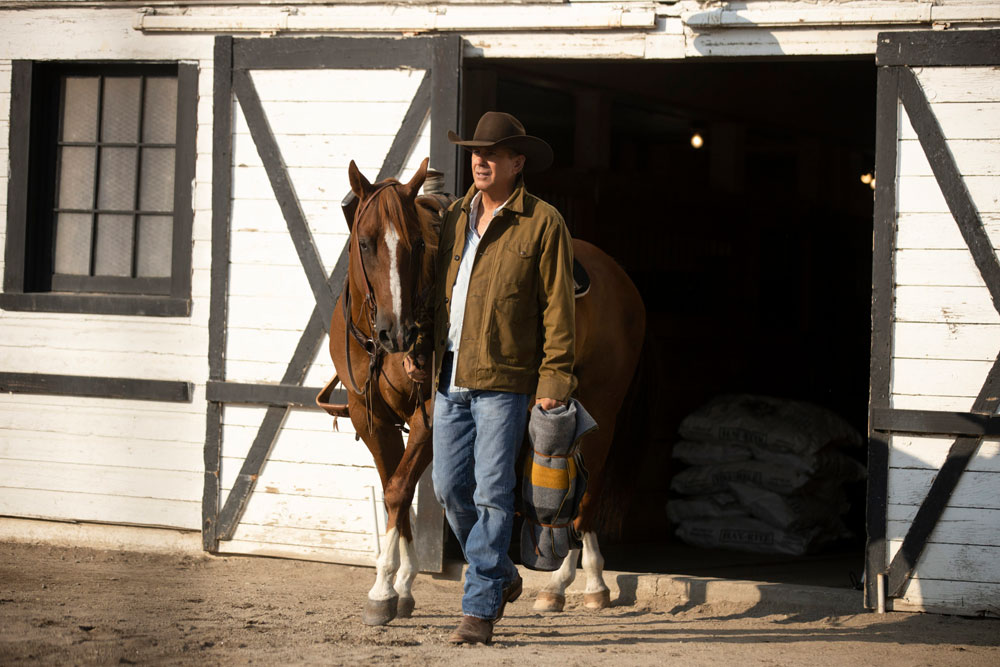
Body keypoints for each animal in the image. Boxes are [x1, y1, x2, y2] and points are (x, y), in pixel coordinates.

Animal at [324, 158, 644, 628]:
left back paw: (575, 583)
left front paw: (384, 588)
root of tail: (618, 276)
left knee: (587, 487)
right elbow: (392, 489)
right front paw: (403, 585)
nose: (398, 333)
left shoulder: (429, 415)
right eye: (365, 243)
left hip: (600, 405)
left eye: (416, 244)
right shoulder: (371, 417)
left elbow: (399, 489)